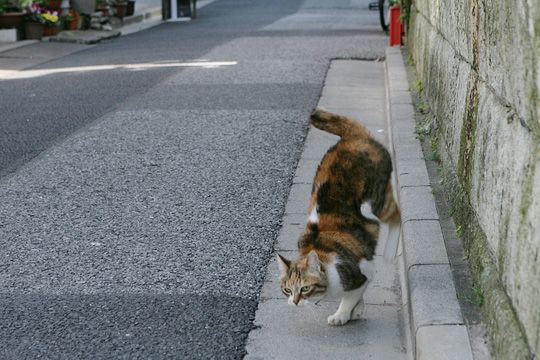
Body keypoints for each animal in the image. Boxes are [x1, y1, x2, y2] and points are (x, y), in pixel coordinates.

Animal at [278, 107, 400, 326]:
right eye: (287, 290)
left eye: (305, 288)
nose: (294, 302)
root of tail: (354, 136)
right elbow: (357, 295)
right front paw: (358, 309)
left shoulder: (364, 271)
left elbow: (350, 296)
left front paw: (342, 314)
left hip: (377, 197)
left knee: (396, 215)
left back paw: (390, 252)